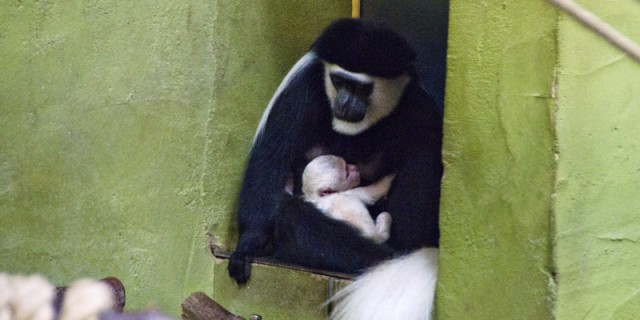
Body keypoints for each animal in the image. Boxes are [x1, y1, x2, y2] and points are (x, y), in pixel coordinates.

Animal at [230, 18, 444, 318]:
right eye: (338, 81)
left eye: (361, 89)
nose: (343, 102)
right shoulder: (301, 88)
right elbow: (271, 159)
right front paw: (248, 245)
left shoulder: (420, 111)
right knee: (289, 212)